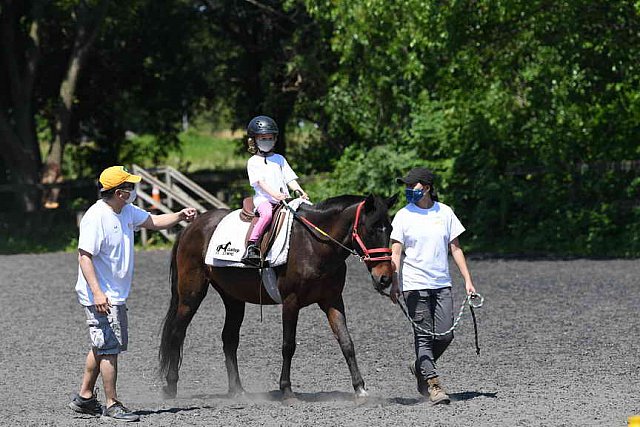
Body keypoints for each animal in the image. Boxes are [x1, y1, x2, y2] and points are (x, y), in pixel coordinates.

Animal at [159, 196, 396, 402]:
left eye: (390, 229)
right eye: (372, 229)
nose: (384, 278)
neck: (313, 244)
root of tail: (191, 226)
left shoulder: (333, 301)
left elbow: (347, 342)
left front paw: (360, 389)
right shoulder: (291, 302)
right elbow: (288, 345)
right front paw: (287, 390)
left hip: (233, 299)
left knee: (229, 339)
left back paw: (237, 390)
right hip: (191, 294)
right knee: (177, 332)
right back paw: (171, 386)